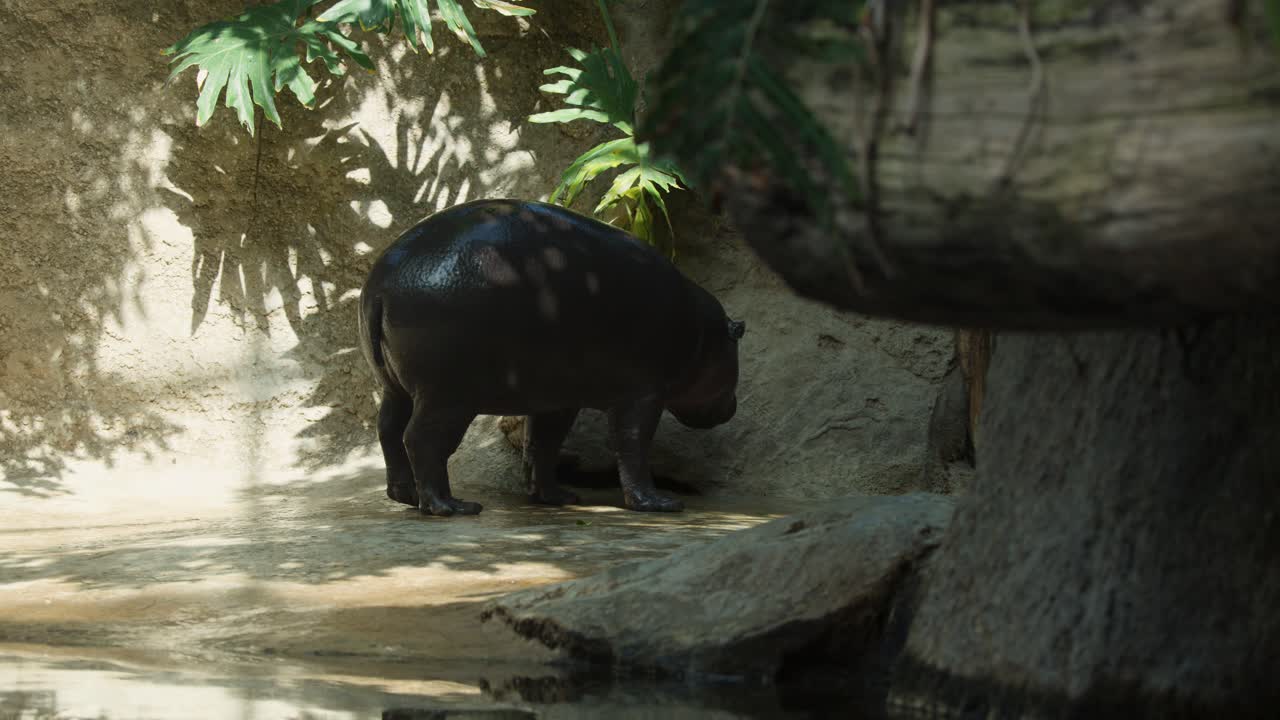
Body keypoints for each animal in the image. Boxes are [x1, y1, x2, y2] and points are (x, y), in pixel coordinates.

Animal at [358, 199, 745, 517]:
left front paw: (557, 498)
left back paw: (408, 496)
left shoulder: (556, 399)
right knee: (421, 439)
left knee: (388, 429)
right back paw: (453, 507)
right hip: (448, 395)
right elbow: (632, 443)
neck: (700, 333)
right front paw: (659, 504)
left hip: (395, 385)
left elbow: (542, 444)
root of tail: (382, 283)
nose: (733, 407)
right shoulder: (644, 393)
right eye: (737, 342)